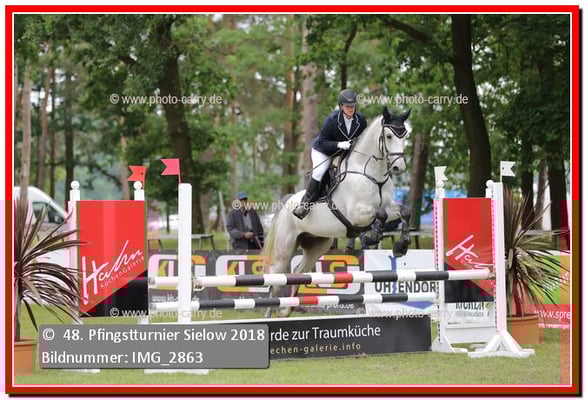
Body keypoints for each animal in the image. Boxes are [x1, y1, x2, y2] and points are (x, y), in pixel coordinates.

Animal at [261, 106, 411, 317]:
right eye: (389, 136)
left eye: (405, 135)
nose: (399, 167)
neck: (370, 173)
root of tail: (285, 205)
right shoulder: (357, 213)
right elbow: (379, 215)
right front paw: (370, 237)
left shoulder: (390, 206)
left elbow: (404, 212)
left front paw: (401, 246)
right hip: (285, 248)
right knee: (275, 279)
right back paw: (271, 313)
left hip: (317, 246)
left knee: (298, 272)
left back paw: (287, 309)